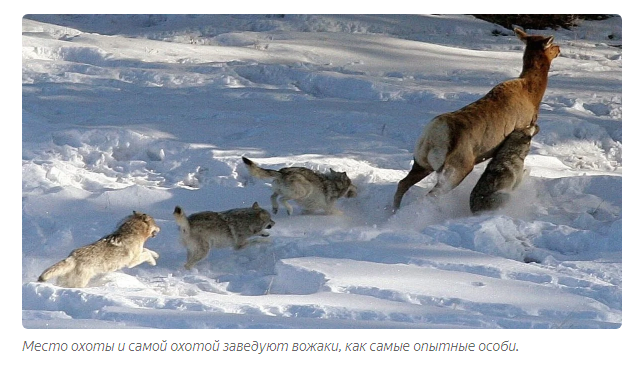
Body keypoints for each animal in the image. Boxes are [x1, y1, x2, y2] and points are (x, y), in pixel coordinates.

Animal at [388, 27, 556, 212]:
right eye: (552, 44)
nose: (559, 49)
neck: (533, 95)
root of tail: (433, 137)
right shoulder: (521, 126)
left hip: (421, 162)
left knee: (402, 183)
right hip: (457, 169)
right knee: (430, 195)